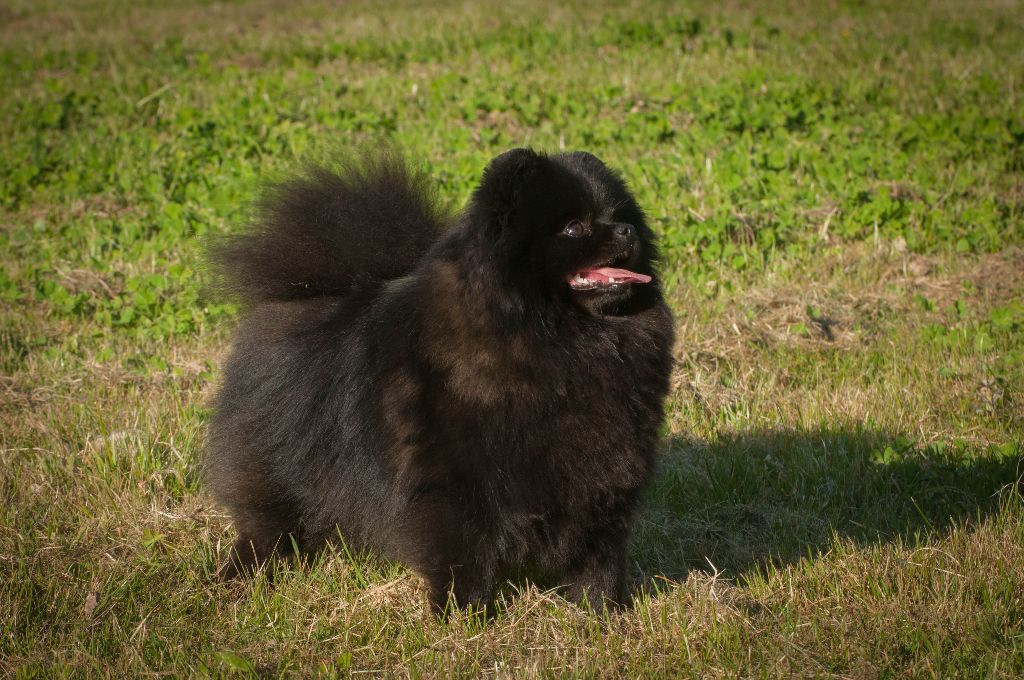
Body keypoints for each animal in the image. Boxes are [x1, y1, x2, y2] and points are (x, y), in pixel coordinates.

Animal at [203, 147, 675, 610]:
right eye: (573, 227)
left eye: (618, 214)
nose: (627, 230)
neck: (556, 338)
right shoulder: (456, 482)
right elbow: (464, 553)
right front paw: (465, 614)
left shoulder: (605, 475)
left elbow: (600, 556)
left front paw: (601, 612)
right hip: (276, 463)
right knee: (267, 522)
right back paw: (246, 571)